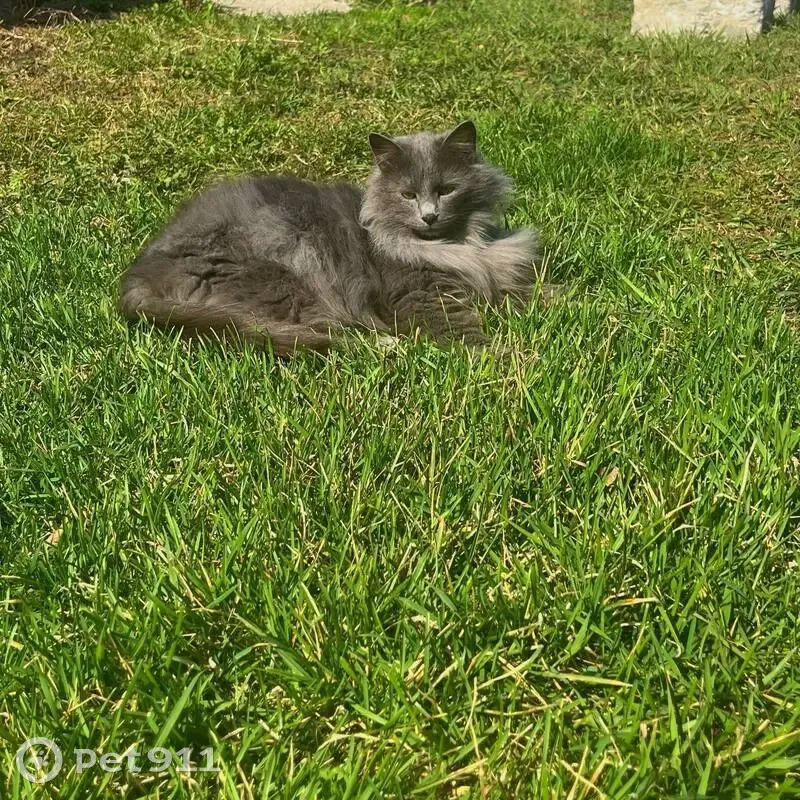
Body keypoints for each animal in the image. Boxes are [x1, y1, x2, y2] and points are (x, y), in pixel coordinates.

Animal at [119, 120, 550, 355]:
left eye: (446, 190)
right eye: (408, 195)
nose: (429, 216)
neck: (458, 245)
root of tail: (137, 276)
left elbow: (537, 292)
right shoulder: (424, 296)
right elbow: (465, 334)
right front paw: (505, 358)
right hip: (289, 280)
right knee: (327, 335)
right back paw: (387, 347)